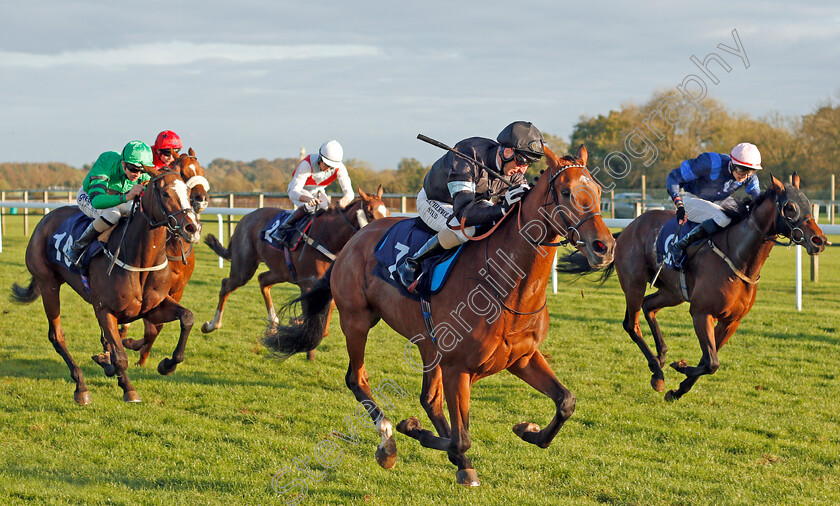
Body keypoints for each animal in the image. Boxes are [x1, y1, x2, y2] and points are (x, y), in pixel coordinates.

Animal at [11, 168, 202, 406]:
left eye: (188, 192)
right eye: (165, 193)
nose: (192, 228)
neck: (139, 261)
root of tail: (45, 219)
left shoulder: (153, 307)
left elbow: (186, 318)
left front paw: (167, 365)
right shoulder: (104, 309)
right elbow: (120, 356)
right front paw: (128, 389)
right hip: (48, 285)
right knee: (57, 335)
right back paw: (81, 386)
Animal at [120, 148, 210, 366]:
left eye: (201, 170)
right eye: (184, 173)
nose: (201, 198)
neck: (174, 248)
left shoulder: (176, 290)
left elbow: (157, 325)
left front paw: (141, 352)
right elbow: (151, 326)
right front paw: (135, 347)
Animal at [200, 185, 390, 356]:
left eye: (387, 212)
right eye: (370, 213)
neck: (329, 238)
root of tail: (246, 217)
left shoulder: (327, 289)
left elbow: (324, 328)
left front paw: (296, 324)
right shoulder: (307, 285)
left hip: (281, 271)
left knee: (262, 280)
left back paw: (273, 324)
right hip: (244, 267)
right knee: (226, 285)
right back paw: (212, 325)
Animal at [266, 146, 612, 486]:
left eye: (597, 191)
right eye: (565, 192)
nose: (604, 246)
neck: (507, 286)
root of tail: (353, 242)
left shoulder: (521, 357)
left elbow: (565, 401)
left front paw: (527, 430)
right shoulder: (458, 368)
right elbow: (462, 437)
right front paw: (415, 432)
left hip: (427, 343)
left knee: (429, 399)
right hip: (356, 320)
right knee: (357, 378)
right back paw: (388, 440)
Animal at [560, 174, 824, 404]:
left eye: (808, 204)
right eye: (790, 207)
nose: (819, 240)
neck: (738, 258)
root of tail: (626, 229)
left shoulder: (731, 321)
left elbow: (708, 360)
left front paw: (678, 388)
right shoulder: (700, 312)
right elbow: (711, 362)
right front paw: (680, 367)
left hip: (673, 292)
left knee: (649, 306)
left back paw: (661, 356)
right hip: (634, 284)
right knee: (631, 323)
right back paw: (657, 371)